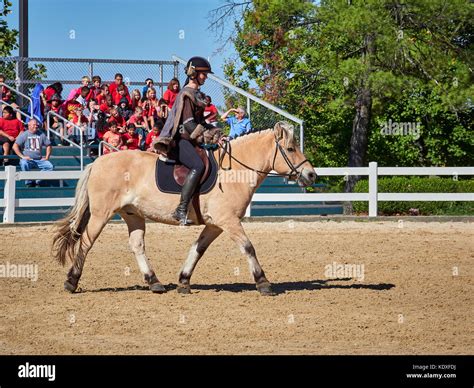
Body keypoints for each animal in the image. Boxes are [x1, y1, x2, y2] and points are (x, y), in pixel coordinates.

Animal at [51, 123, 316, 296]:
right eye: (290, 149)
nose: (311, 175)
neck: (235, 171)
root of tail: (97, 162)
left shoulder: (214, 224)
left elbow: (197, 249)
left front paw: (184, 281)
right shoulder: (228, 221)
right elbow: (248, 247)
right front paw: (263, 283)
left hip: (133, 215)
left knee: (137, 245)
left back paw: (154, 282)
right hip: (101, 214)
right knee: (86, 241)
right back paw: (71, 281)